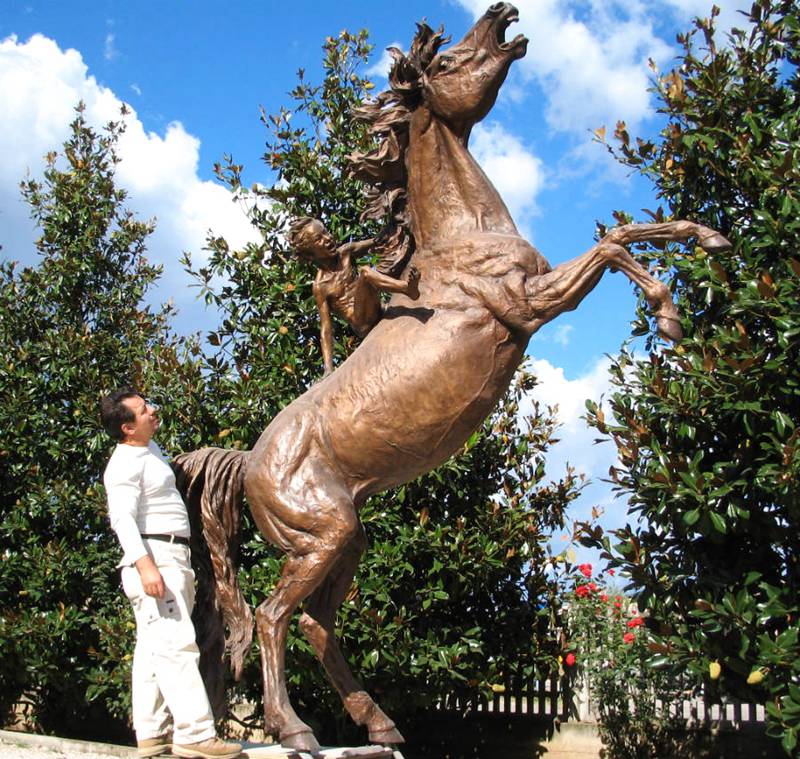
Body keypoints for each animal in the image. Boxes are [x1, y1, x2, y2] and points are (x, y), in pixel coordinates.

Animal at [175, 4, 732, 756]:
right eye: (444, 61)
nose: (504, 16)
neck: (459, 240)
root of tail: (250, 459)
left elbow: (626, 231)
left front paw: (711, 241)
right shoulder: (531, 305)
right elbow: (613, 248)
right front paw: (670, 314)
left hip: (345, 540)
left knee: (317, 623)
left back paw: (380, 724)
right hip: (320, 536)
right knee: (271, 616)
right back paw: (296, 729)